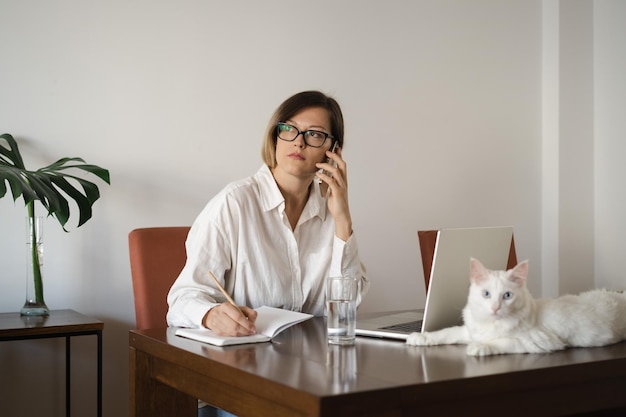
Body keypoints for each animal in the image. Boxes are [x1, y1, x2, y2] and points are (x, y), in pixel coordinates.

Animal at [404, 258, 624, 356]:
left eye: (507, 296)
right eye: (486, 294)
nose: (495, 308)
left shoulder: (535, 342)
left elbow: (502, 342)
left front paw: (480, 347)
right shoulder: (470, 330)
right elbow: (446, 333)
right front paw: (420, 337)